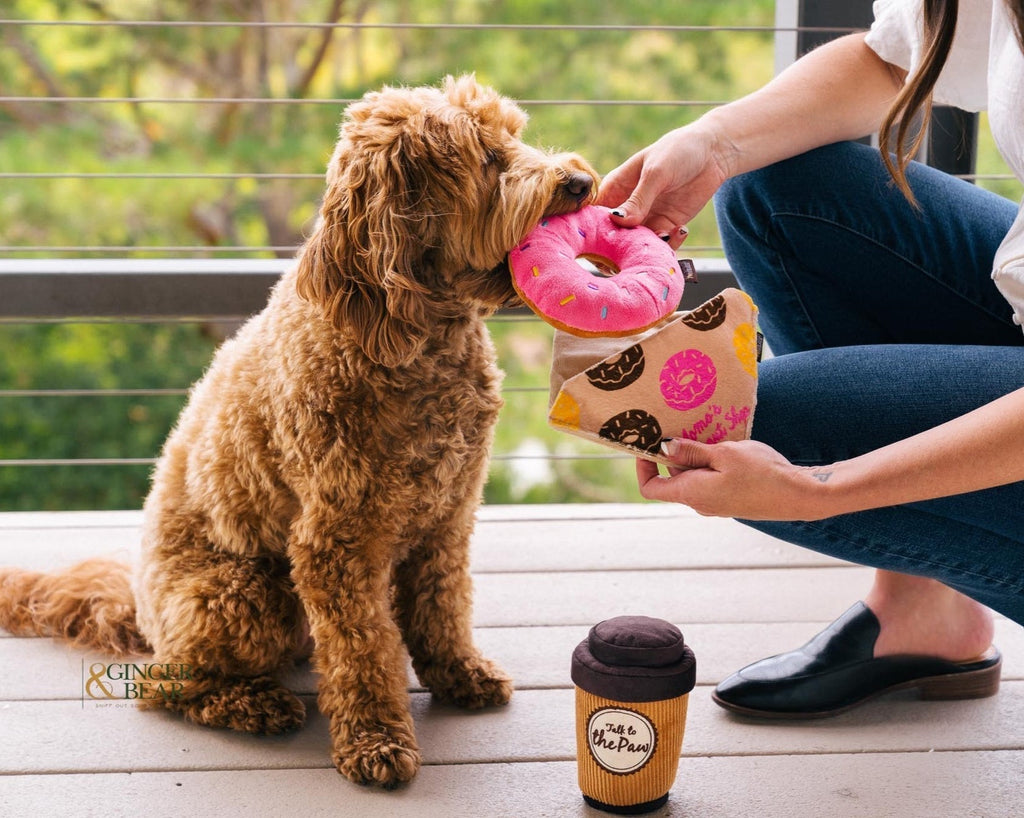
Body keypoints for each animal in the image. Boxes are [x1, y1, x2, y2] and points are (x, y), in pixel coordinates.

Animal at [0, 75, 598, 786]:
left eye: (513, 133)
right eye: (484, 158)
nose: (580, 182)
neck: (417, 338)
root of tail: (140, 610)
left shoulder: (448, 515)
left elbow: (443, 604)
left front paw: (458, 673)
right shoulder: (336, 541)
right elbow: (363, 648)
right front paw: (374, 739)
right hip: (246, 594)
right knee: (162, 686)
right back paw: (255, 705)